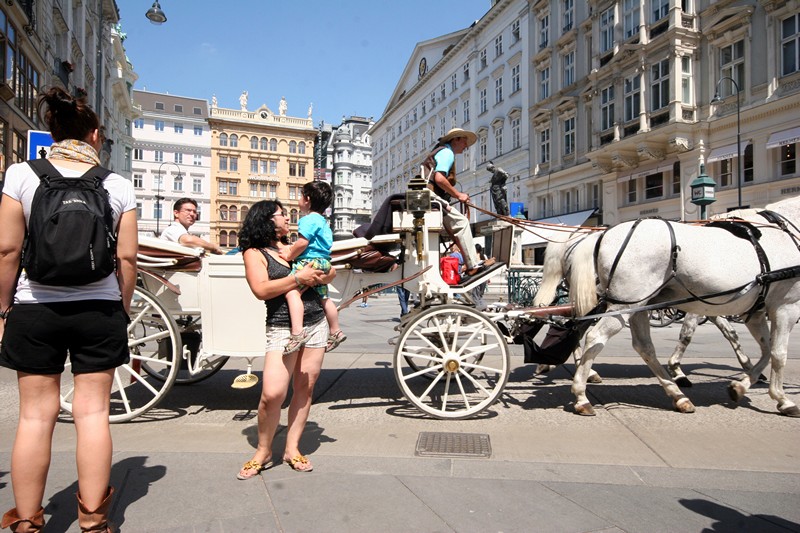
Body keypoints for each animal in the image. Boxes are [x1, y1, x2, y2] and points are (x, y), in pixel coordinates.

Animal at [548, 195, 796, 416]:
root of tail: (602, 235)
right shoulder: (785, 306)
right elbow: (778, 352)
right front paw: (782, 398)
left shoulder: (753, 310)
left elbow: (761, 347)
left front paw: (743, 382)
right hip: (624, 304)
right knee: (594, 336)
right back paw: (581, 395)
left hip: (635, 305)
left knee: (642, 345)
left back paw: (677, 395)